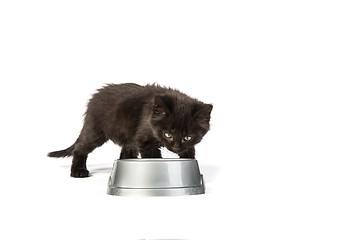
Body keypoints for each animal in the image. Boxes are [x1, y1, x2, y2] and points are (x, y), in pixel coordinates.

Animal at [47, 83, 211, 177]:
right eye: (168, 134)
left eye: (188, 137)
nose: (176, 147)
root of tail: (94, 97)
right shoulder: (145, 140)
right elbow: (153, 158)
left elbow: (190, 152)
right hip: (96, 131)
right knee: (80, 148)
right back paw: (78, 170)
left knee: (126, 149)